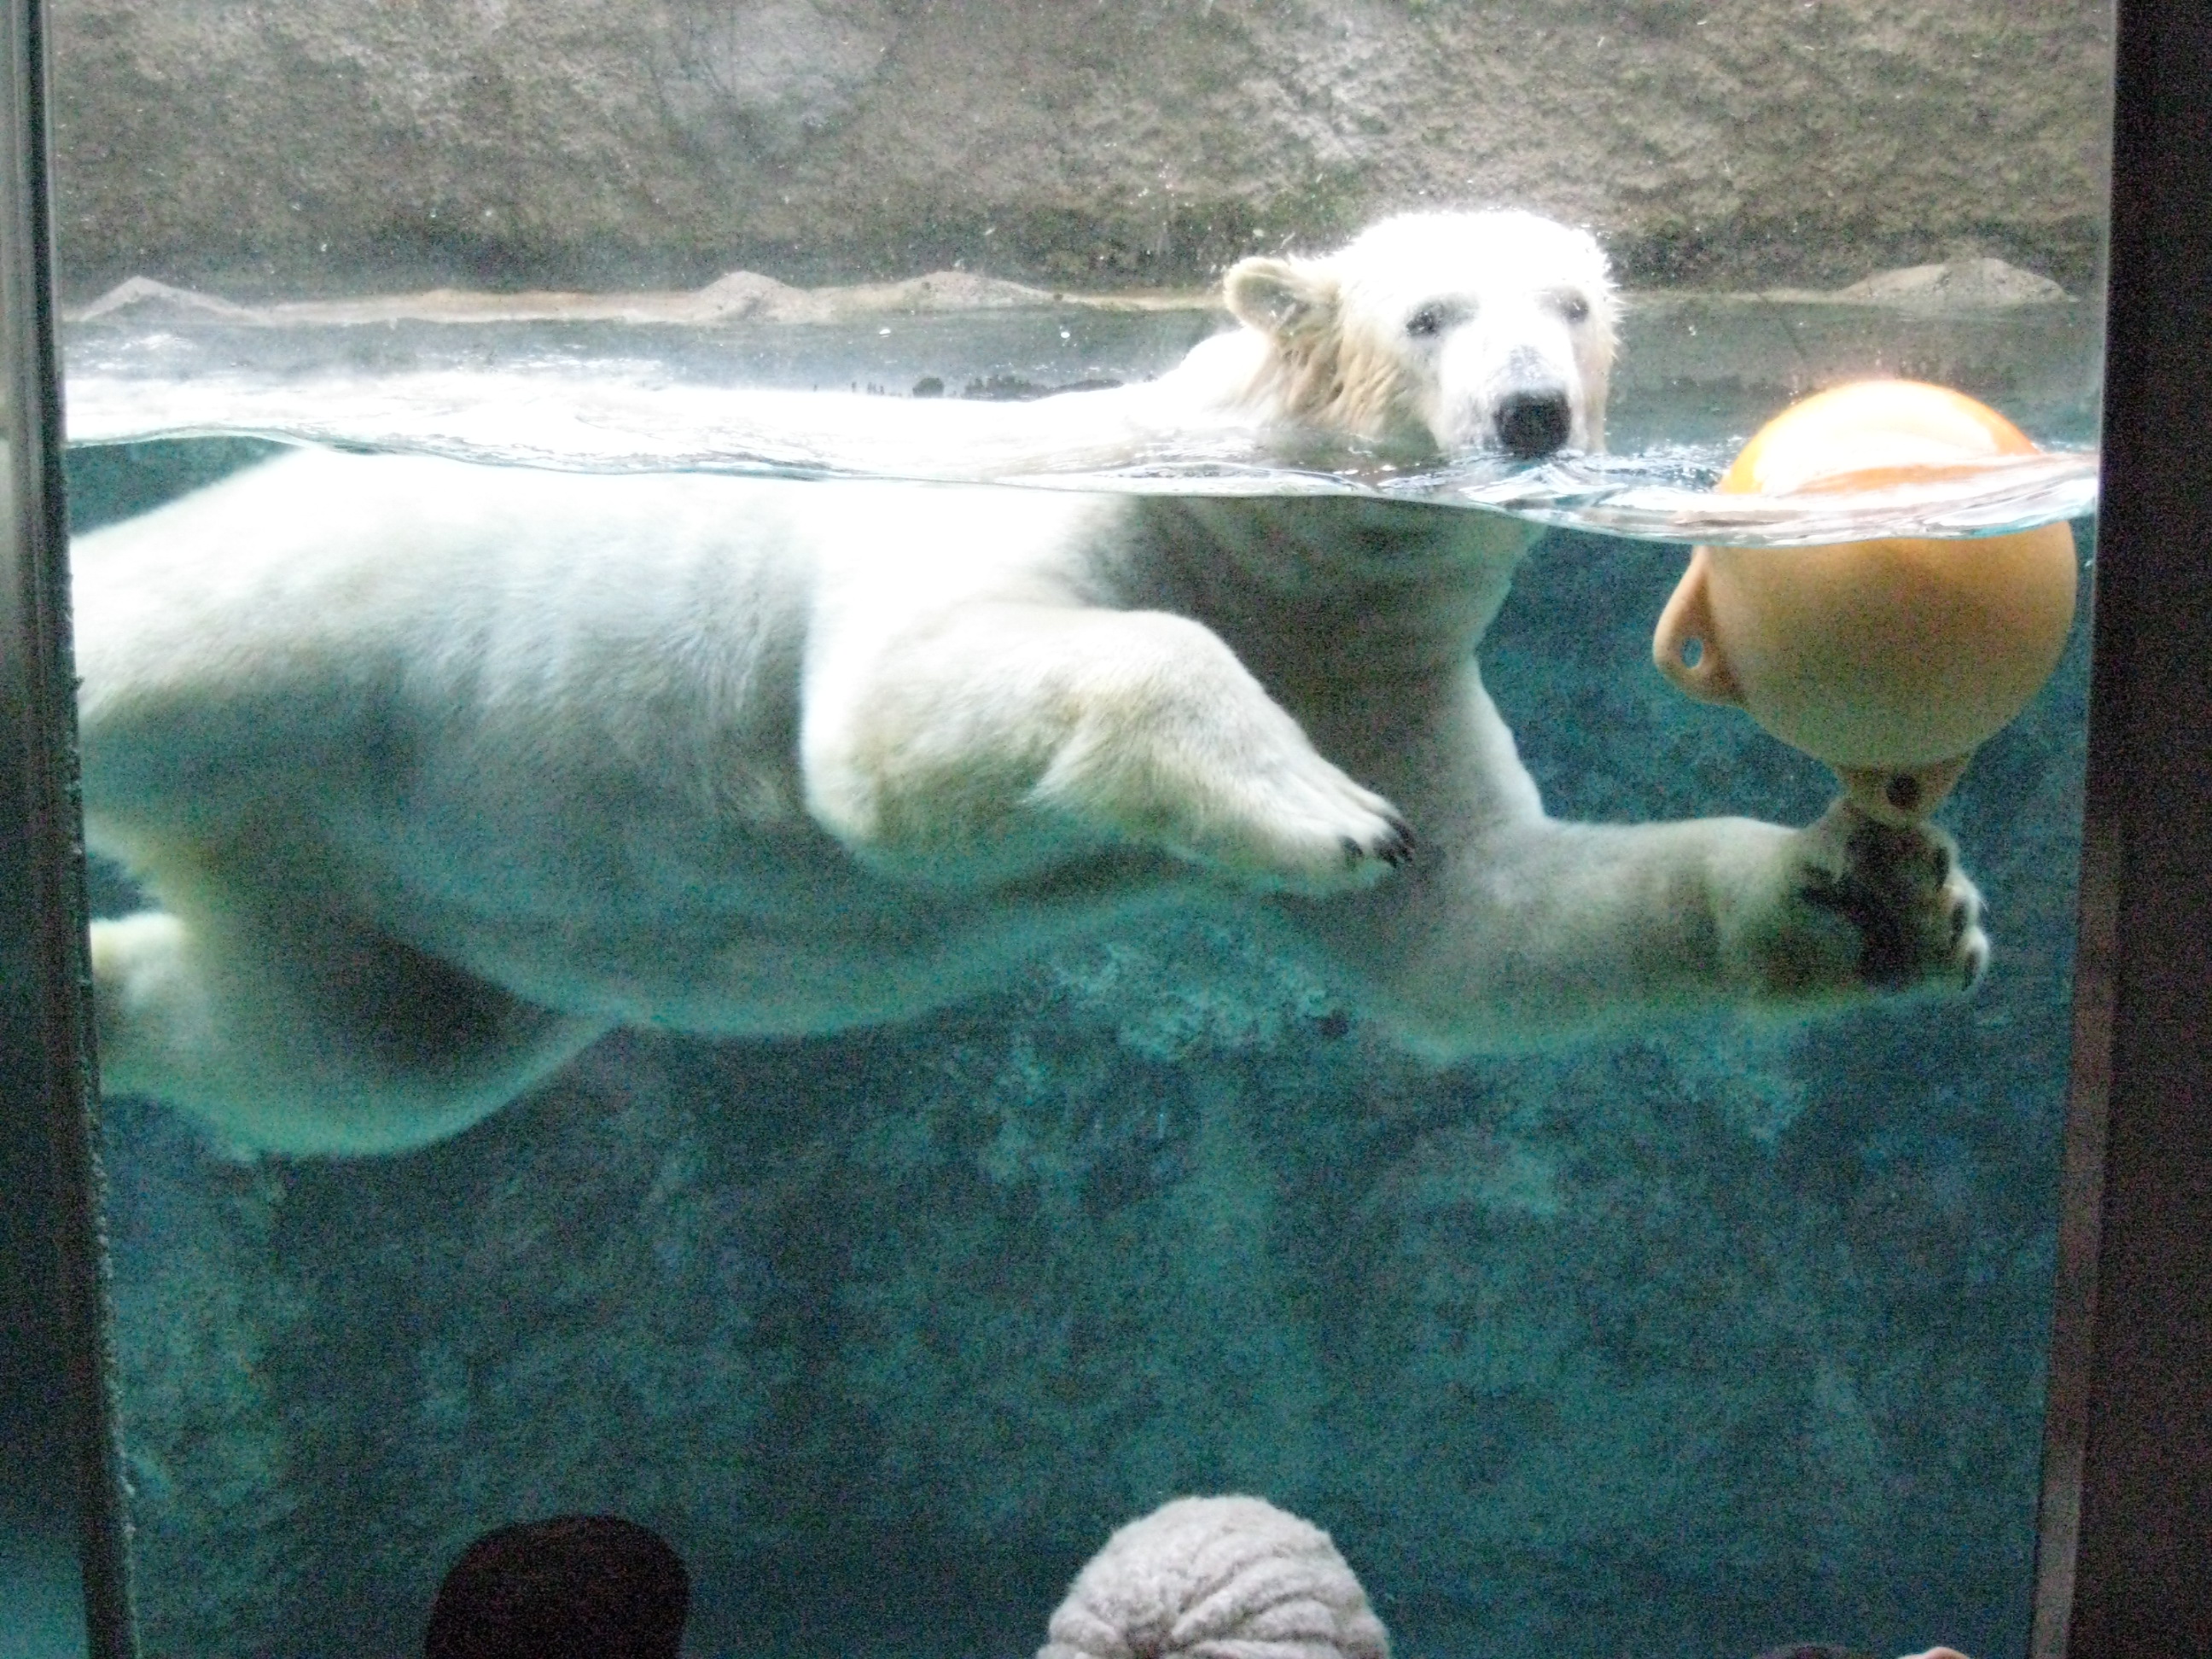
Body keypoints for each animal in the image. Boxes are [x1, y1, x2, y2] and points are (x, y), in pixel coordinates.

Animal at [69, 209, 1986, 1157]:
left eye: (1576, 307)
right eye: (1431, 316)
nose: (1531, 416)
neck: (1242, 527)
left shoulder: (1376, 664)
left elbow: (1484, 922)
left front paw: (1883, 897)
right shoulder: (1070, 529)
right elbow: (888, 725)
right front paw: (1306, 807)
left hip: (375, 857)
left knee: (359, 1042)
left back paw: (93, 990)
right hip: (304, 619)